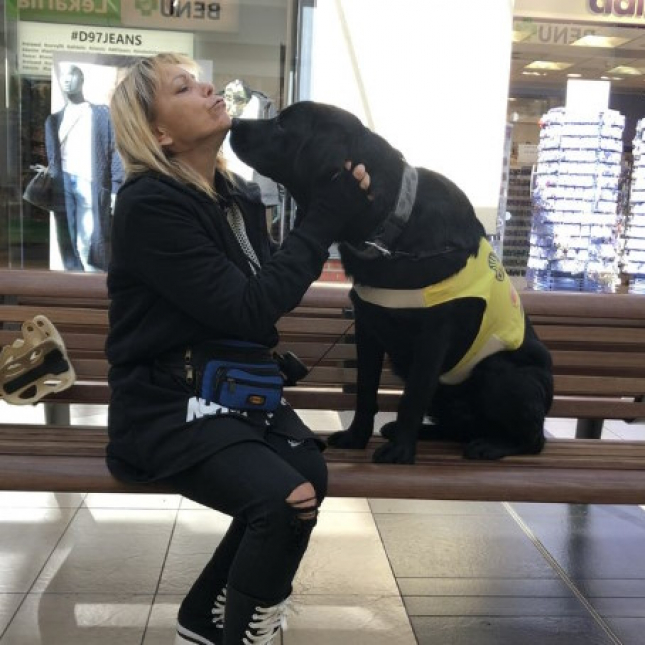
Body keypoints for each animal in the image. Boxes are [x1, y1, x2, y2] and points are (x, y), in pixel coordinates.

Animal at [229, 101, 554, 464]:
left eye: (284, 125)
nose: (234, 123)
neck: (393, 231)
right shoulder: (367, 327)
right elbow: (365, 389)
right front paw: (357, 437)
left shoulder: (434, 336)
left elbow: (412, 397)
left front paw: (400, 451)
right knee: (457, 426)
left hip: (502, 372)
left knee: (533, 438)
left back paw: (491, 444)